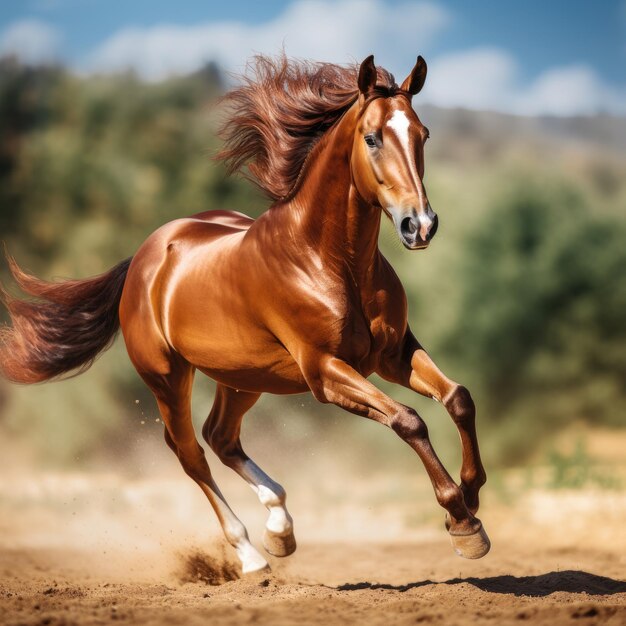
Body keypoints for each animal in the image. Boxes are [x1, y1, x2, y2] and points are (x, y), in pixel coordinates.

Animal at [0, 54, 488, 576]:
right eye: (372, 137)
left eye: (423, 134)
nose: (421, 225)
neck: (327, 259)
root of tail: (145, 257)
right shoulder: (325, 372)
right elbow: (409, 420)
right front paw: (462, 522)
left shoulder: (393, 355)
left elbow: (458, 398)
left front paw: (472, 496)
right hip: (168, 378)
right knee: (191, 453)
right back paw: (251, 554)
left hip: (243, 377)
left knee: (221, 437)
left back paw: (280, 528)